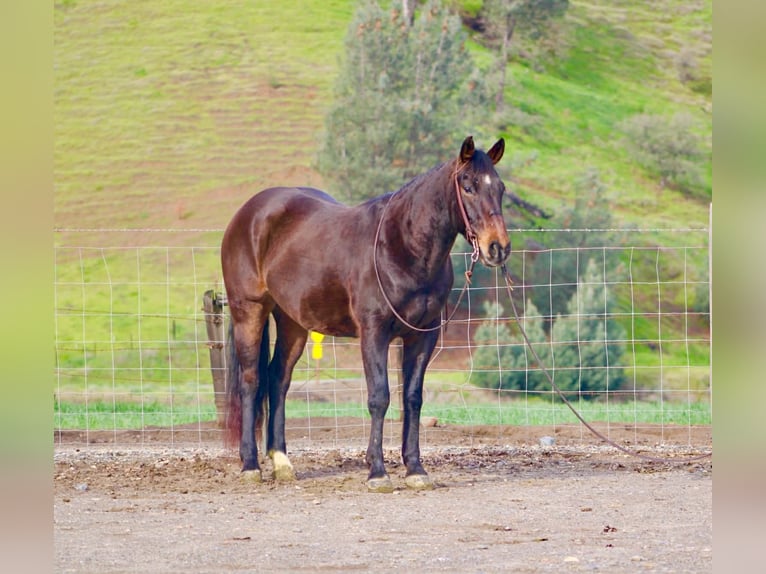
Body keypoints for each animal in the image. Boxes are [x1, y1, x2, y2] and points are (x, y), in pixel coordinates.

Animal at [221, 136, 511, 492]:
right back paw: (250, 465)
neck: (401, 245)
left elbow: (412, 398)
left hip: (293, 322)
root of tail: (250, 213)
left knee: (278, 379)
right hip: (249, 310)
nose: (498, 248)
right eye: (468, 186)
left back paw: (282, 462)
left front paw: (415, 469)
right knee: (251, 380)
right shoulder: (374, 332)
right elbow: (379, 397)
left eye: (500, 188)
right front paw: (378, 472)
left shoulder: (423, 335)